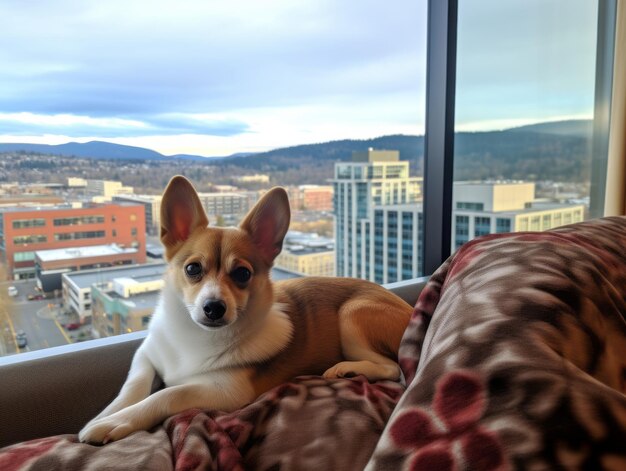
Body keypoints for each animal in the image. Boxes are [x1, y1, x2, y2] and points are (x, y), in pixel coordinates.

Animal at [78, 175, 412, 444]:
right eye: (192, 269)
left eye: (242, 274)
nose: (214, 307)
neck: (194, 336)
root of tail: (407, 308)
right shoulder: (146, 356)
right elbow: (133, 386)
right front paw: (106, 415)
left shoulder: (225, 392)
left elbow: (166, 394)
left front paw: (117, 422)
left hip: (352, 314)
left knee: (392, 367)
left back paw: (348, 368)